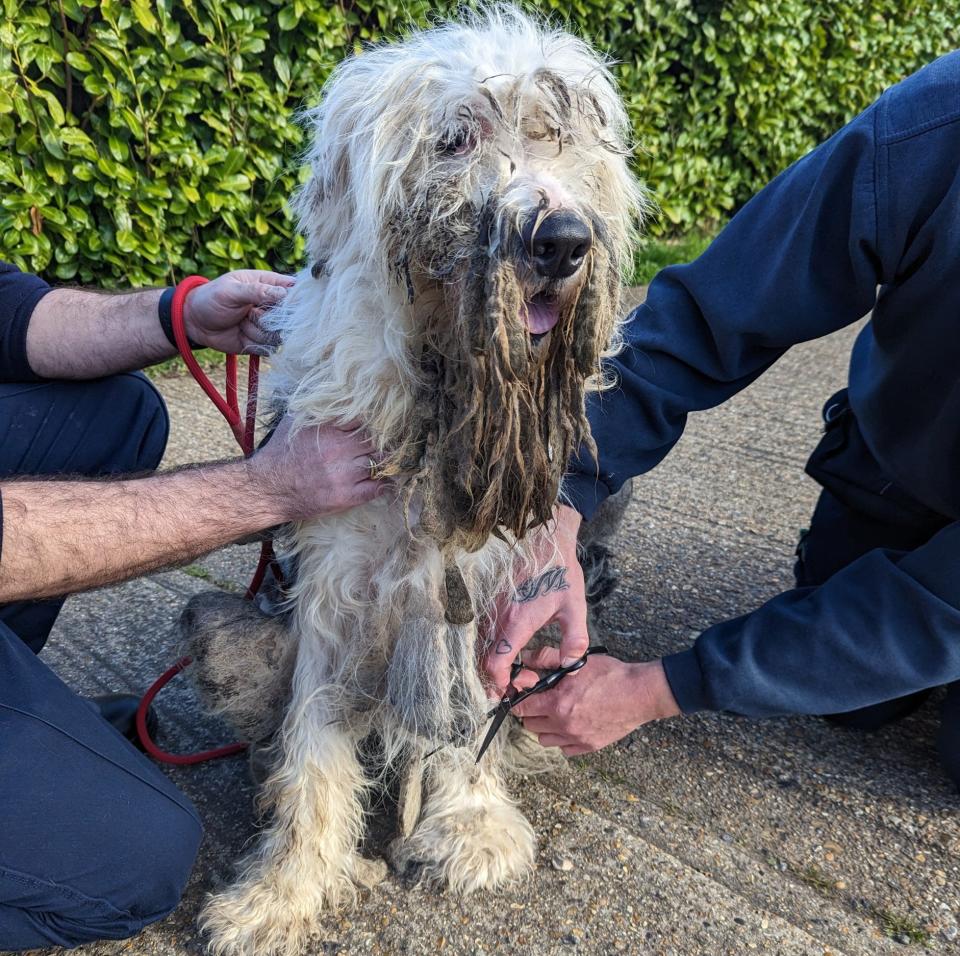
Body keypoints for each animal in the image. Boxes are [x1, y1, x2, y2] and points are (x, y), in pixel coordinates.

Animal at [188, 9, 644, 956]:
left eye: (557, 135)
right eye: (454, 139)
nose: (562, 241)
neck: (442, 393)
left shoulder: (476, 581)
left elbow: (466, 714)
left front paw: (468, 824)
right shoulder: (336, 582)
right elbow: (313, 738)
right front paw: (284, 889)